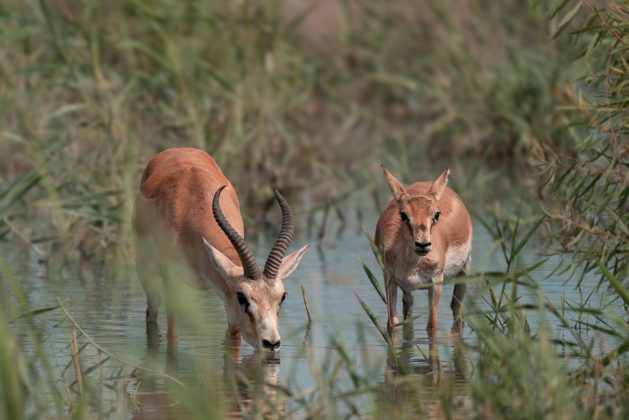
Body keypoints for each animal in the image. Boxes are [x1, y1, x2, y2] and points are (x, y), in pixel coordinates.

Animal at [132, 148, 310, 352]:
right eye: (241, 297)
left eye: (283, 296)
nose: (271, 343)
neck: (192, 203)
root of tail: (176, 150)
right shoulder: (173, 282)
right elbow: (173, 336)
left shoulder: (227, 300)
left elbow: (233, 341)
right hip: (147, 272)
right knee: (151, 314)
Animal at [372, 166, 472, 334]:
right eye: (403, 214)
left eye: (436, 214)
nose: (422, 244)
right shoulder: (390, 279)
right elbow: (393, 323)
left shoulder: (436, 281)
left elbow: (432, 325)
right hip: (409, 290)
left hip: (465, 270)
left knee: (457, 307)